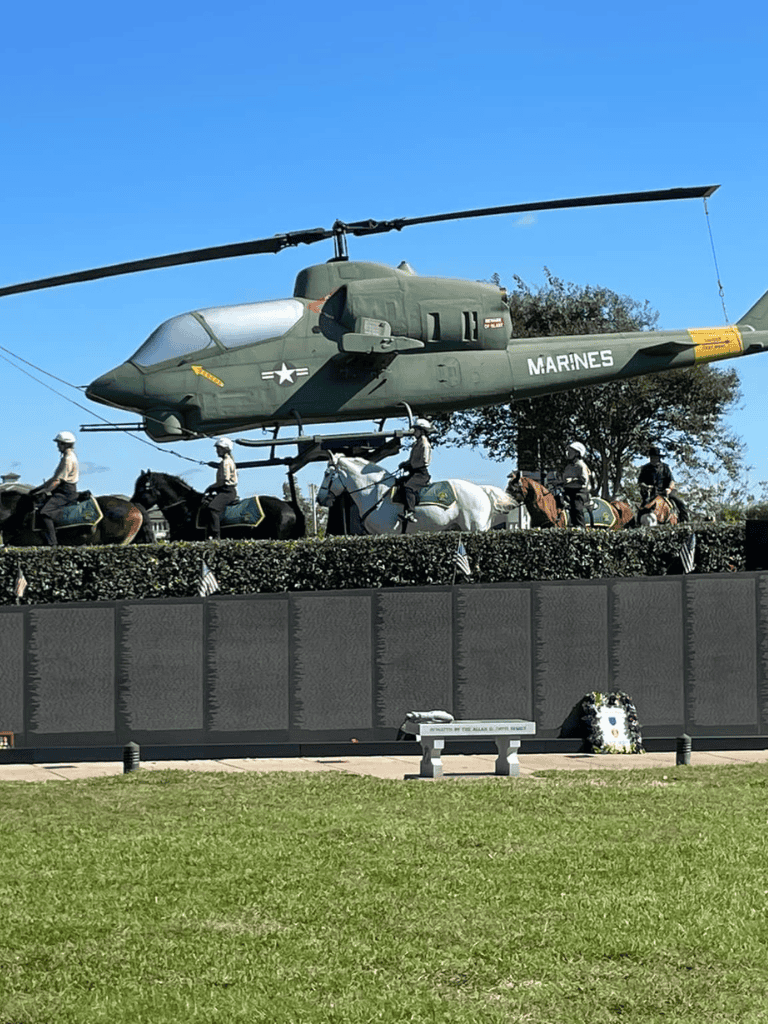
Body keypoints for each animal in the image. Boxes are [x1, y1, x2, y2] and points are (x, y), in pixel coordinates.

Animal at [316, 454, 514, 534]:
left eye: (327, 474)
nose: (319, 499)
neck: (375, 493)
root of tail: (482, 490)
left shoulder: (389, 534)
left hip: (474, 528)